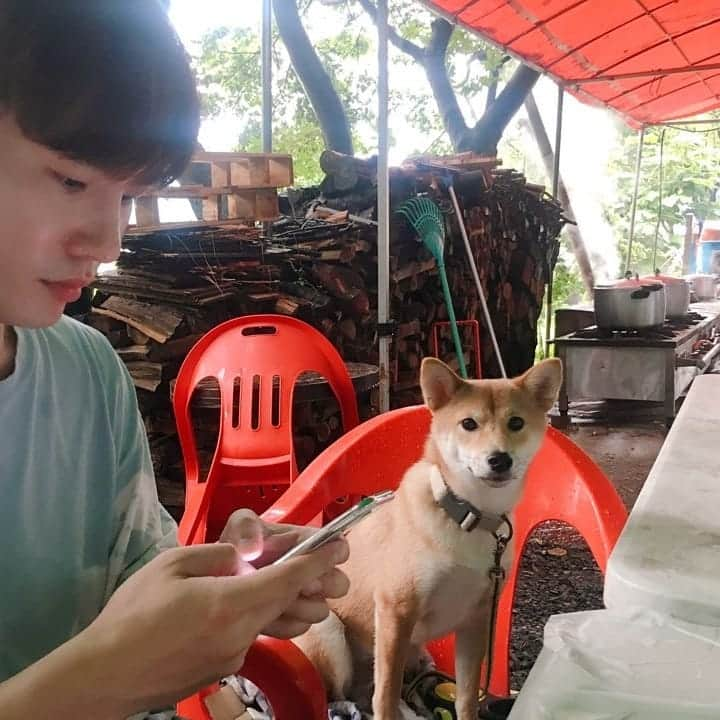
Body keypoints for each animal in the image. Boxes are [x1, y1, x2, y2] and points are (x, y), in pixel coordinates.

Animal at [292, 356, 564, 720]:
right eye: (468, 424)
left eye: (516, 422)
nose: (499, 459)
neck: (467, 517)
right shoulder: (396, 611)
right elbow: (386, 696)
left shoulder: (476, 621)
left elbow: (466, 696)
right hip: (330, 631)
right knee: (339, 697)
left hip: (417, 654)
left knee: (369, 693)